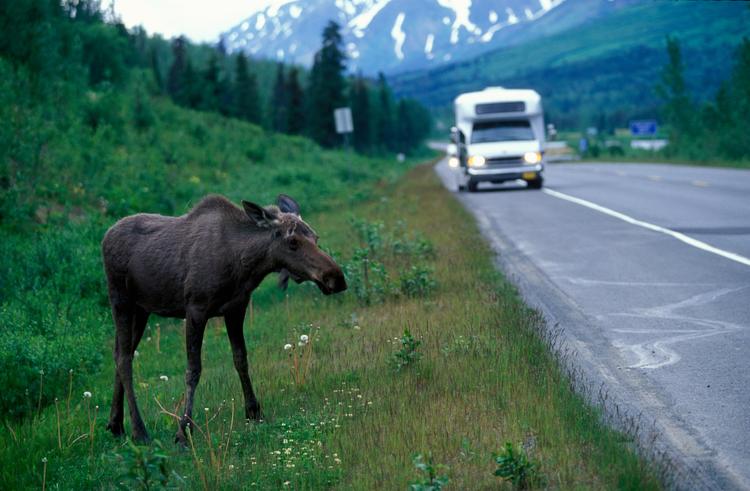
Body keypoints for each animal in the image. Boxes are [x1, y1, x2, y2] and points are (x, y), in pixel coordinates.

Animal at [101, 194, 348, 444]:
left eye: (315, 237)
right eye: (293, 242)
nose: (336, 278)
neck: (244, 266)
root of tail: (106, 234)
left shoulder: (236, 309)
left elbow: (241, 359)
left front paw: (253, 410)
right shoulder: (195, 309)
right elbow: (193, 370)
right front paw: (183, 430)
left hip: (142, 309)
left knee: (120, 353)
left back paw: (116, 423)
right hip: (120, 299)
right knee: (124, 359)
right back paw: (139, 430)